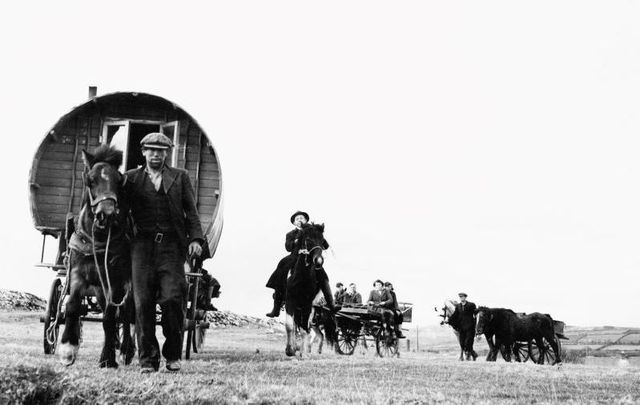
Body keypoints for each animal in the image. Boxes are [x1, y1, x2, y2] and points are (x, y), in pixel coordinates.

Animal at [57, 145, 135, 366]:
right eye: (90, 180)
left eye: (119, 181)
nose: (105, 215)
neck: (97, 242)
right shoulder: (77, 273)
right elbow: (73, 306)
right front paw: (68, 348)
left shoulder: (114, 280)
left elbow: (109, 317)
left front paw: (107, 358)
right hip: (99, 287)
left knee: (127, 312)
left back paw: (126, 349)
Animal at [284, 221, 336, 356]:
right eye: (308, 239)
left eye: (322, 241)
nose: (319, 261)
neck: (301, 278)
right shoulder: (290, 300)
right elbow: (289, 325)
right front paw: (290, 350)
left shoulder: (307, 304)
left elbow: (304, 329)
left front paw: (303, 353)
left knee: (311, 331)